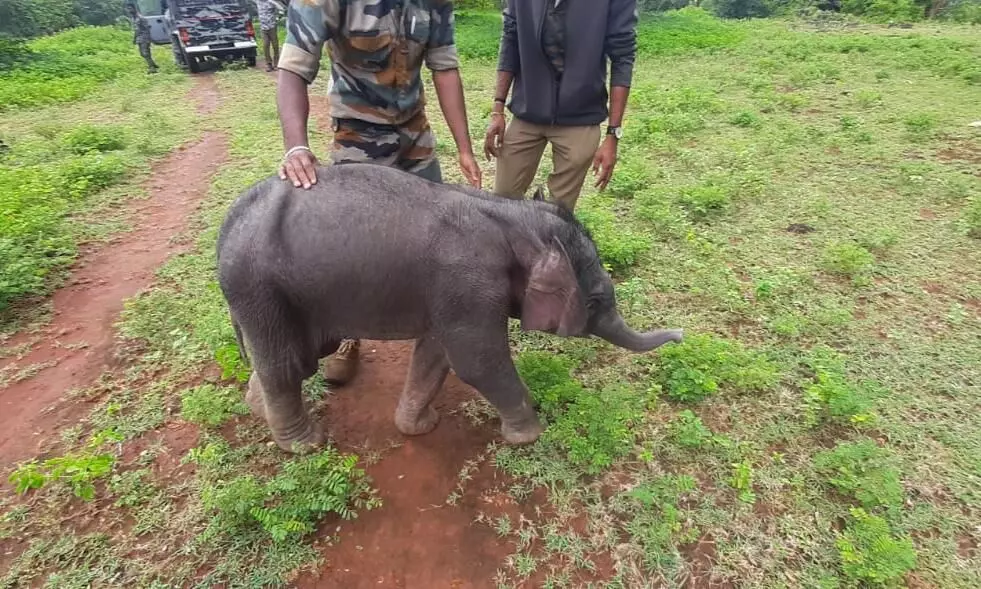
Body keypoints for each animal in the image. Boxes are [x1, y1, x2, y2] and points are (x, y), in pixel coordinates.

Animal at [216, 163, 680, 452]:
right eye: (596, 300)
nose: (680, 335)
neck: (510, 215)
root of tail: (229, 223)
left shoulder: (454, 294)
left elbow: (436, 354)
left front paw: (420, 428)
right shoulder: (470, 284)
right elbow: (478, 363)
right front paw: (530, 435)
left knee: (296, 357)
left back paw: (260, 411)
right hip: (261, 289)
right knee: (288, 364)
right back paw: (304, 444)